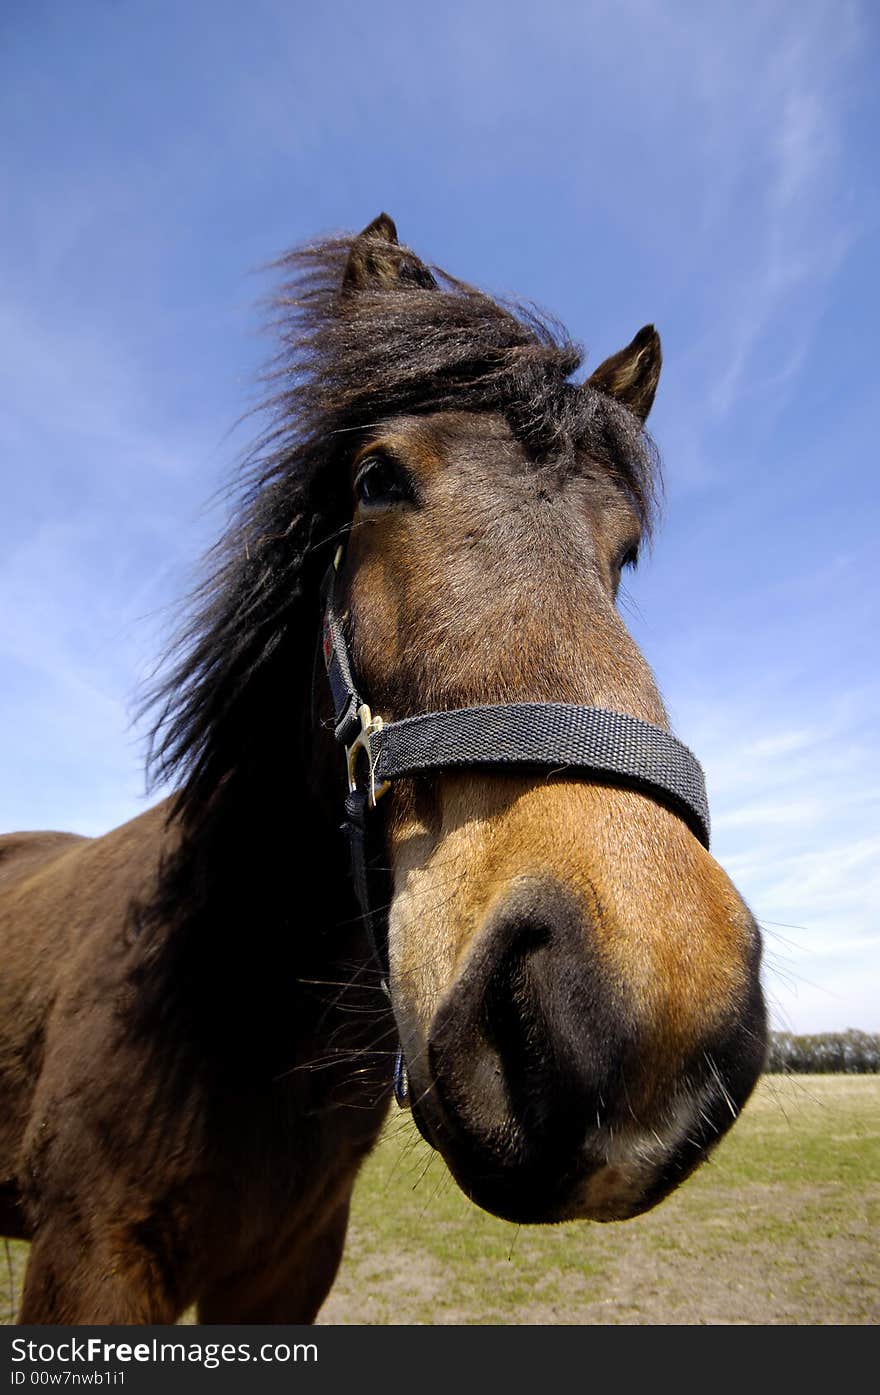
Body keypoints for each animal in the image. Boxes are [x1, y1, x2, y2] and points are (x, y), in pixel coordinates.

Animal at [0, 214, 769, 1316]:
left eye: (621, 554)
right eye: (376, 481)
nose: (643, 1018)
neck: (234, 995)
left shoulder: (291, 1264)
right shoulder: (89, 1262)